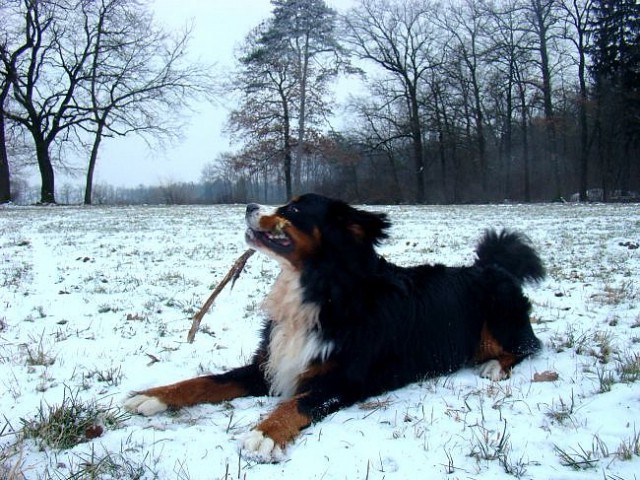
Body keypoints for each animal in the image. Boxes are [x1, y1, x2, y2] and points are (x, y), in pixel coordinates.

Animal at [125, 193, 544, 464]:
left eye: (293, 208)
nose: (248, 206)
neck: (318, 292)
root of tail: (492, 266)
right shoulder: (268, 366)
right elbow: (205, 381)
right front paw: (152, 396)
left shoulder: (344, 379)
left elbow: (297, 403)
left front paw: (264, 434)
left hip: (500, 321)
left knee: (527, 347)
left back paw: (494, 366)